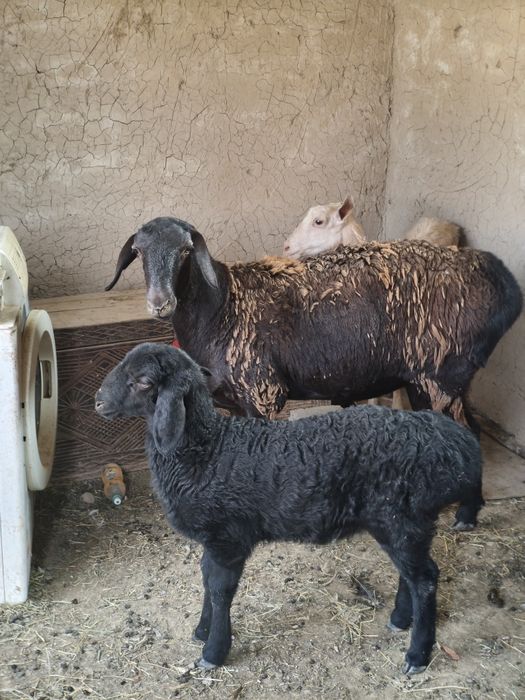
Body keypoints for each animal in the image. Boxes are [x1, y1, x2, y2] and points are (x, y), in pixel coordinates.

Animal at [95, 343, 483, 674]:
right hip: (402, 522)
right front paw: (202, 631)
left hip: (402, 518)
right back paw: (401, 620)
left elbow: (220, 590)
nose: (98, 401)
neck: (205, 451)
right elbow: (205, 580)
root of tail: (454, 443)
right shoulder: (213, 540)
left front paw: (213, 651)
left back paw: (418, 653)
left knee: (426, 579)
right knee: (412, 574)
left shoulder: (228, 538)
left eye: (143, 381)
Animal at [105, 216, 522, 528]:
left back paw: (466, 516)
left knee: (468, 434)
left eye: (186, 250)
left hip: (443, 376)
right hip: (438, 380)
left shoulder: (262, 392)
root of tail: (502, 280)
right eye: (138, 251)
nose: (160, 303)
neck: (222, 306)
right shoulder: (236, 403)